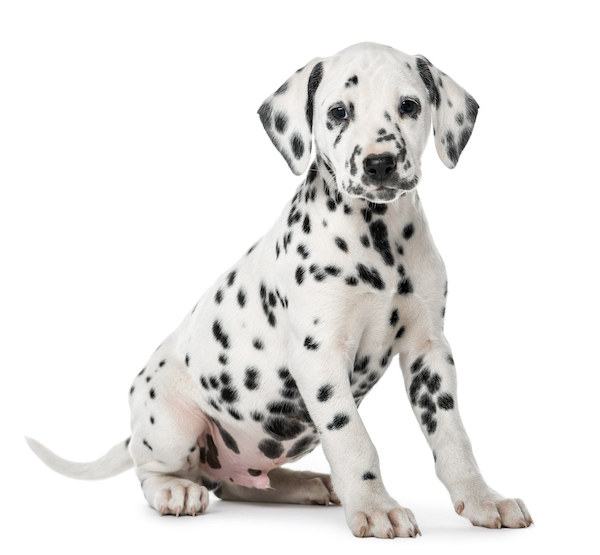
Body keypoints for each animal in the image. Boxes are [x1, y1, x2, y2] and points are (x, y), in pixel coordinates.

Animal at [29, 42, 536, 540]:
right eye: (338, 112)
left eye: (409, 105)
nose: (379, 163)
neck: (379, 239)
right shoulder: (320, 357)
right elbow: (353, 437)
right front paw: (375, 506)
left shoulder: (428, 351)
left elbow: (452, 435)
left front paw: (482, 498)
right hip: (173, 424)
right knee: (158, 472)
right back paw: (175, 491)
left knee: (237, 484)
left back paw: (306, 483)